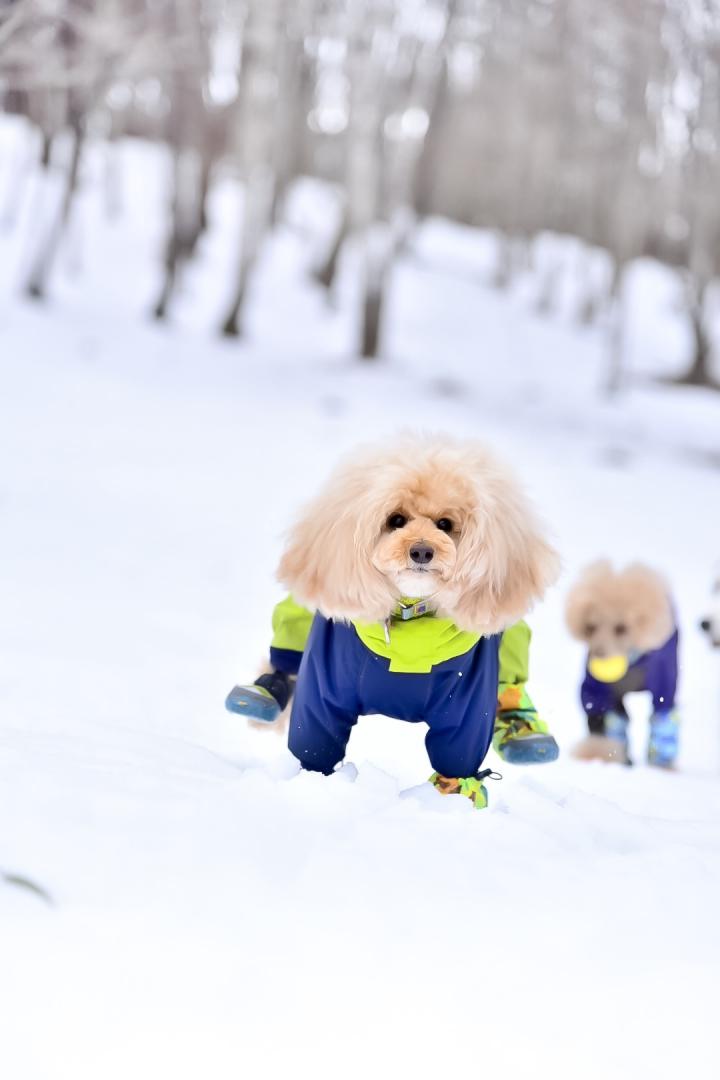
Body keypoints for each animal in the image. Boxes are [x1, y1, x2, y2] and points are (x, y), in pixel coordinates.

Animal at [273, 432, 561, 794]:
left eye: (445, 524)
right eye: (396, 520)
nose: (422, 550)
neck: (412, 626)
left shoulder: (466, 714)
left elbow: (457, 766)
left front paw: (451, 798)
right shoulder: (322, 694)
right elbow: (314, 745)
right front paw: (312, 785)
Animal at [565, 565, 677, 768]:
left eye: (621, 628)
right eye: (591, 627)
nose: (598, 654)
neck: (629, 661)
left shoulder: (663, 685)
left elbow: (662, 715)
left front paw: (662, 766)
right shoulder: (598, 692)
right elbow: (601, 716)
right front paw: (601, 755)